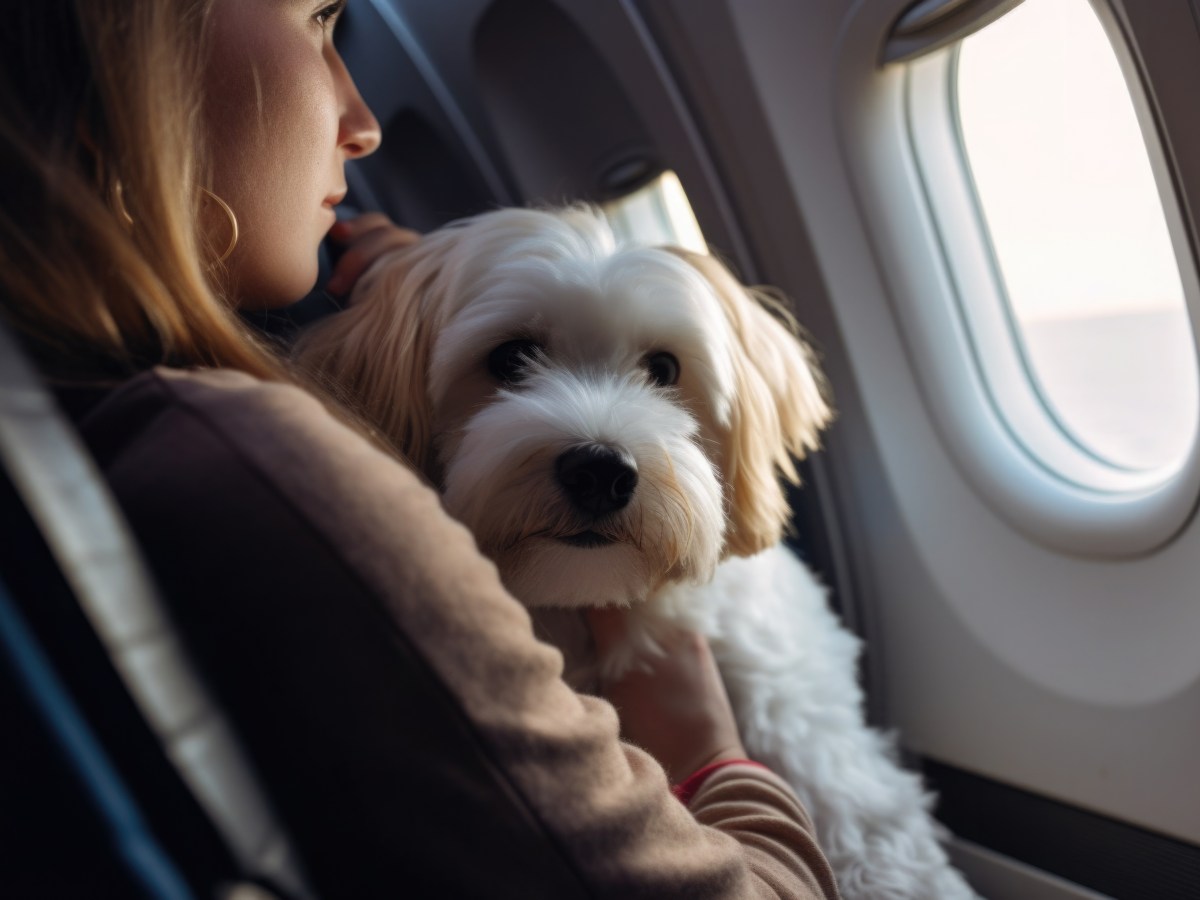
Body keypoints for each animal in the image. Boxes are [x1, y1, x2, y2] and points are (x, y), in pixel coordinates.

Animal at [295, 206, 979, 900]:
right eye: (511, 358)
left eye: (665, 369)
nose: (601, 471)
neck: (587, 598)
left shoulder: (792, 694)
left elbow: (861, 810)